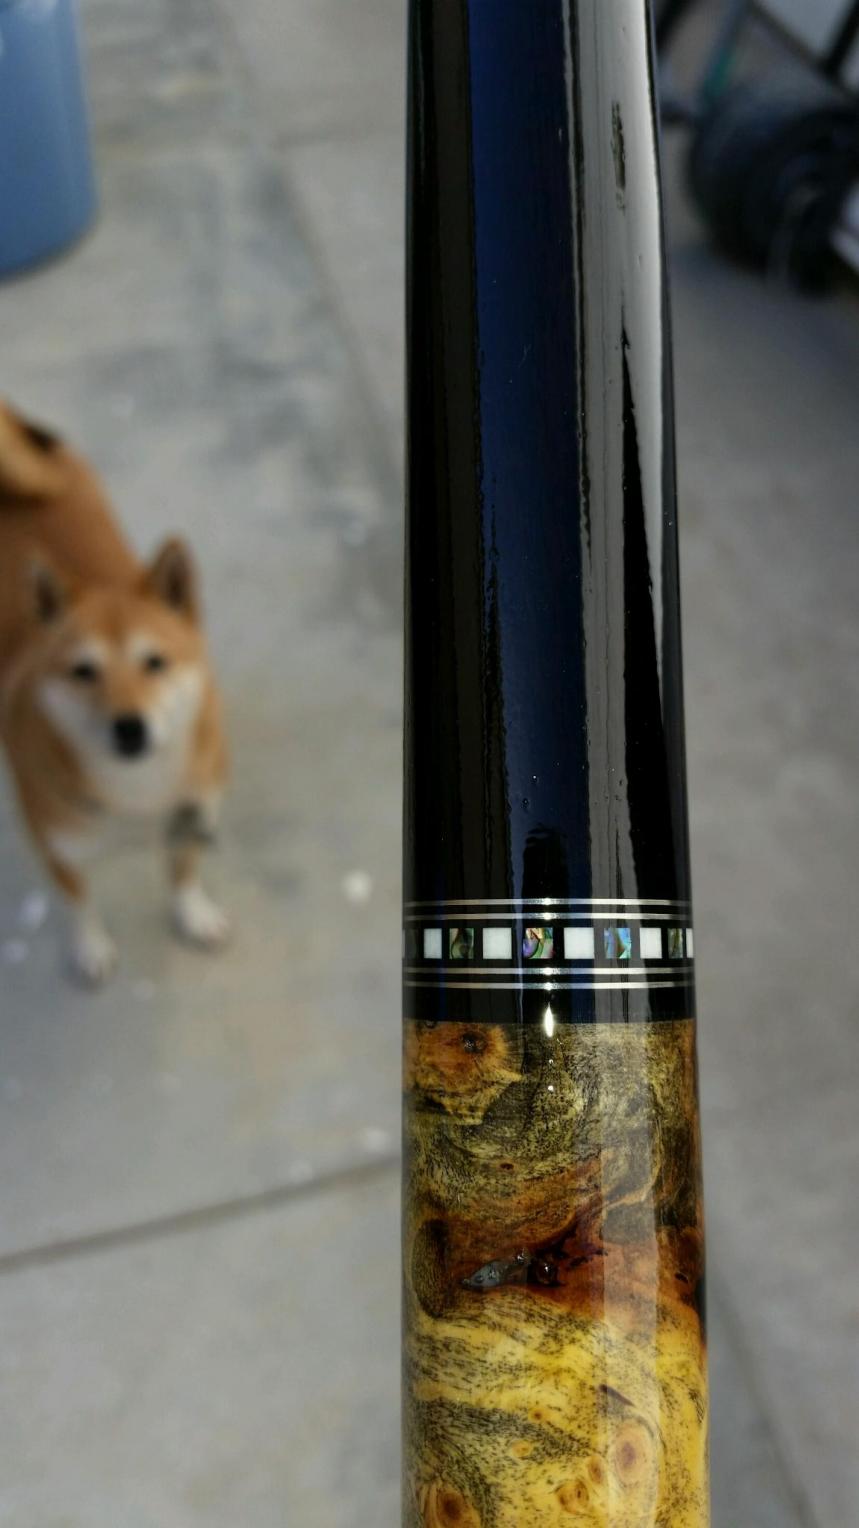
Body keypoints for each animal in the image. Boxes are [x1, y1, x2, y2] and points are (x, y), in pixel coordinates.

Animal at [0, 400, 229, 983]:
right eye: (84, 671)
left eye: (155, 663)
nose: (129, 727)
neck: (136, 798)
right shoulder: (57, 849)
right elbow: (79, 900)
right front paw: (92, 946)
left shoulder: (192, 817)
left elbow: (183, 872)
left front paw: (193, 913)